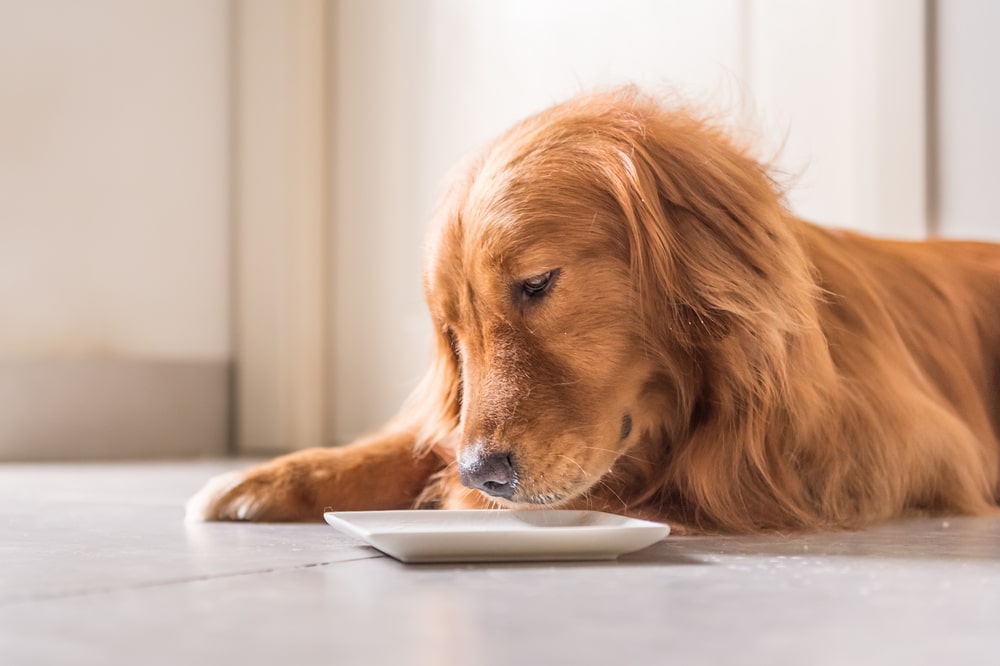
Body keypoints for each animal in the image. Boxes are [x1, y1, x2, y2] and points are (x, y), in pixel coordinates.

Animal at [189, 89, 1000, 536]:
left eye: (538, 283)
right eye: (453, 332)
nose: (485, 472)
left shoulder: (876, 455)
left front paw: (455, 494)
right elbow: (418, 440)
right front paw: (270, 479)